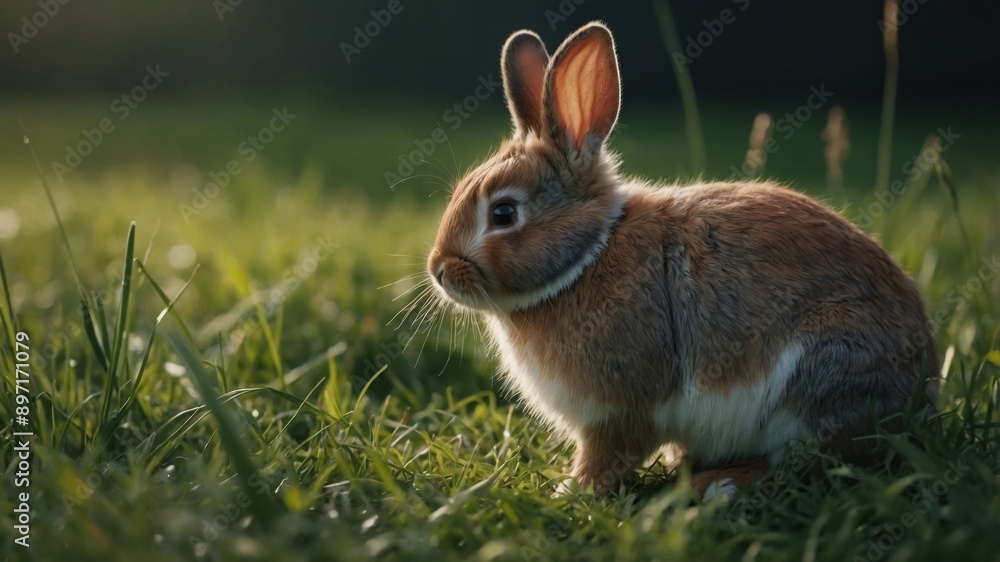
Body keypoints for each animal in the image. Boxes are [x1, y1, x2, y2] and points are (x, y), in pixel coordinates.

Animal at [426, 21, 939, 496]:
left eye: (504, 213)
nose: (439, 271)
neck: (587, 256)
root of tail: (923, 394)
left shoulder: (621, 411)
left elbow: (608, 455)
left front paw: (572, 491)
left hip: (819, 376)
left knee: (800, 460)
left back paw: (717, 484)